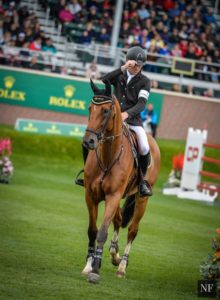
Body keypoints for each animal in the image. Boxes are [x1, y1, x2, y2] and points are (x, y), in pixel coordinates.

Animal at [81, 79, 160, 284]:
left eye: (105, 111)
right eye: (90, 108)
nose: (88, 142)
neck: (108, 156)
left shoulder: (113, 196)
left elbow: (102, 231)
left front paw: (95, 271)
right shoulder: (91, 196)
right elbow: (92, 230)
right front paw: (89, 264)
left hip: (141, 199)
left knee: (132, 230)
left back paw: (122, 266)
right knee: (117, 220)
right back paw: (113, 254)